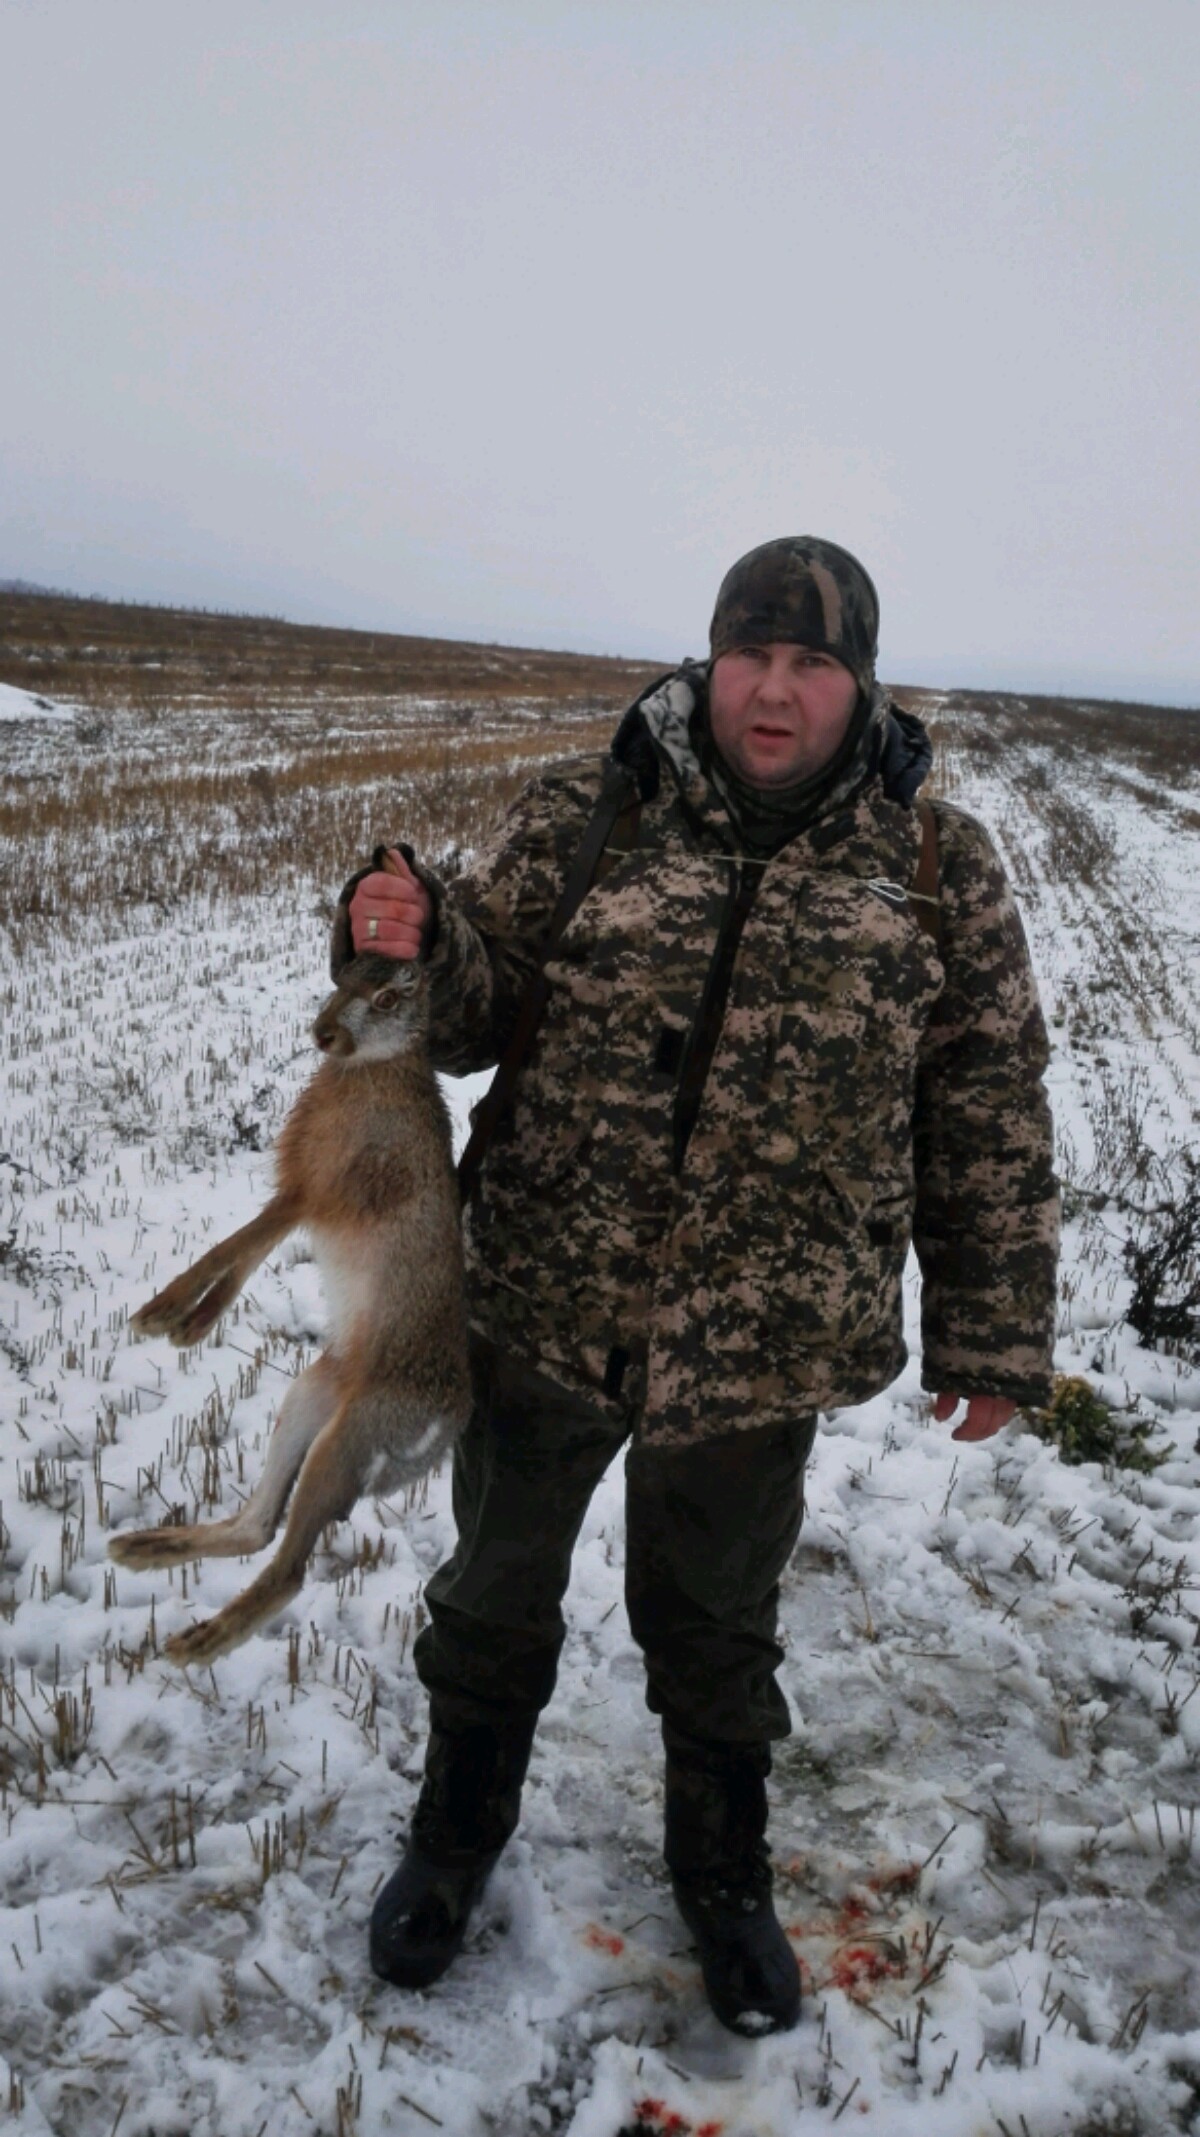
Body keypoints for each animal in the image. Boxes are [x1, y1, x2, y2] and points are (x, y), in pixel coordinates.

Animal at [109, 932, 471, 1668]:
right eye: (343, 976)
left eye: (388, 997)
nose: (324, 1035)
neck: (374, 1065)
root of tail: (451, 1425)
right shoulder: (300, 1196)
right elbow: (245, 1253)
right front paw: (190, 1327)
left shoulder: (316, 1192)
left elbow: (234, 1245)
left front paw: (159, 1315)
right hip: (311, 1398)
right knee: (258, 1525)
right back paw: (143, 1549)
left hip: (352, 1442)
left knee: (289, 1567)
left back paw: (199, 1643)